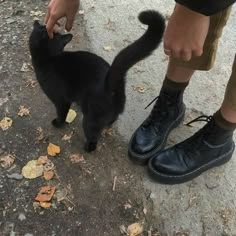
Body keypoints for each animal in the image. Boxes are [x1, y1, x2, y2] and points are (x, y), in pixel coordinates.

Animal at [29, 10, 165, 152]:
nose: (45, 28)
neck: (49, 59)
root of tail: (111, 84)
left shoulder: (61, 100)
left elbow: (62, 113)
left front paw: (58, 123)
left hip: (89, 119)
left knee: (93, 136)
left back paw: (88, 148)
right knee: (111, 120)